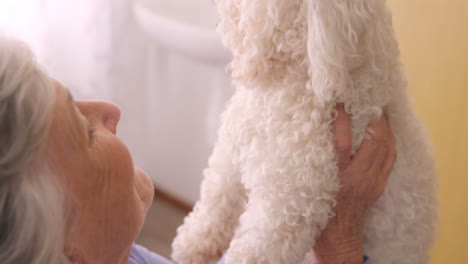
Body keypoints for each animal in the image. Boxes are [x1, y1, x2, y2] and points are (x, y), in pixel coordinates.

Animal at [173, 0, 438, 264]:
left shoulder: (292, 202)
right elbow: (217, 199)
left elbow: (258, 248)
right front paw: (192, 244)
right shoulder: (233, 149)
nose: (218, 12)